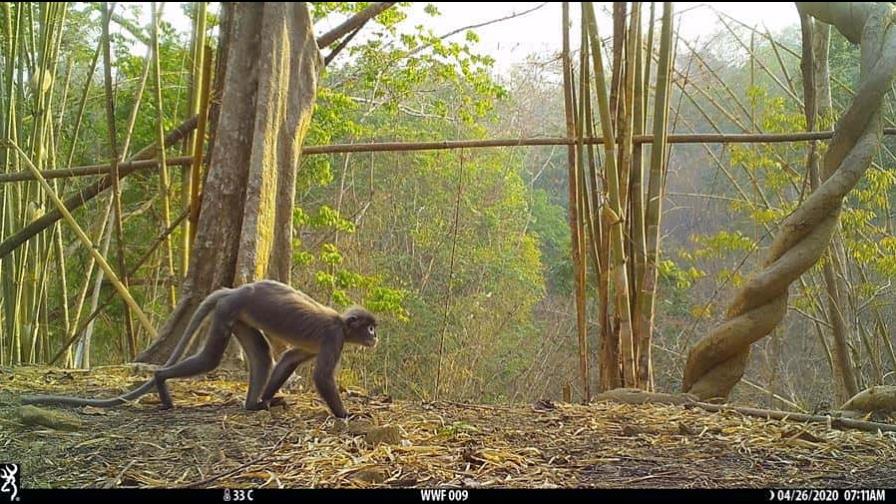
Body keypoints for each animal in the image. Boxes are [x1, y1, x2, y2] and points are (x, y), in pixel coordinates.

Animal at [21, 280, 378, 418]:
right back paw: (161, 380)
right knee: (210, 359)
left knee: (262, 354)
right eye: (369, 327)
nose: (374, 337)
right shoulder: (334, 337)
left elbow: (290, 358)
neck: (342, 323)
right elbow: (321, 377)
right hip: (229, 311)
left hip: (237, 316)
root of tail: (236, 289)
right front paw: (346, 414)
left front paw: (267, 399)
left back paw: (253, 404)